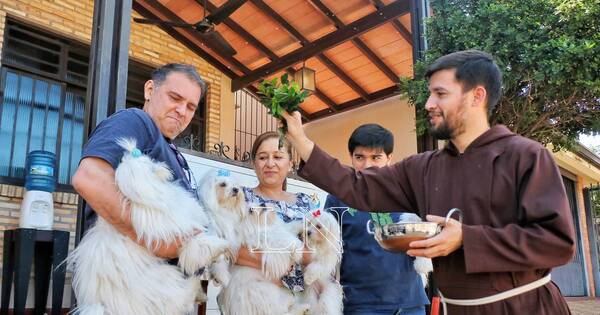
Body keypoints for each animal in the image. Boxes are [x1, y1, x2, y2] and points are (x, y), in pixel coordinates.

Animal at [68, 139, 230, 314]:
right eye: (148, 163)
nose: (160, 164)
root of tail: (104, 306)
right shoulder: (177, 228)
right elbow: (199, 242)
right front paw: (221, 246)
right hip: (166, 279)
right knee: (181, 298)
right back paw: (195, 287)